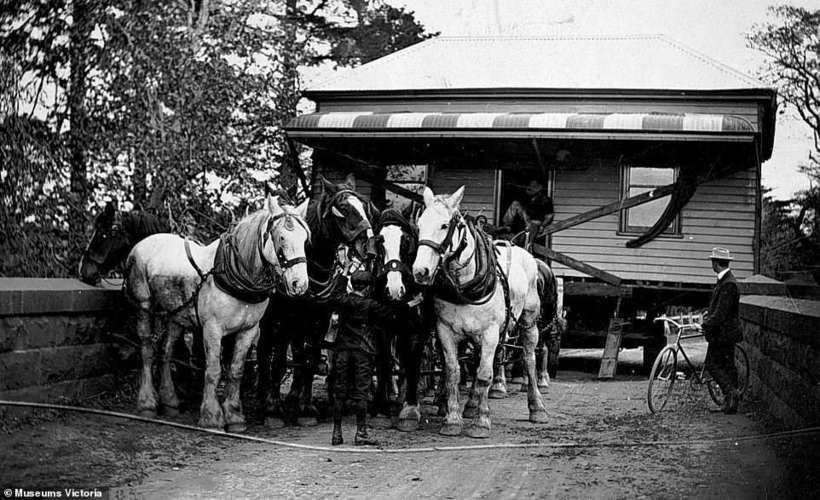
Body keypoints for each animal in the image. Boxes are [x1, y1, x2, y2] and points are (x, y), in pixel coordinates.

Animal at [126, 197, 310, 432]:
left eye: (304, 239)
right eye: (281, 237)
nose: (299, 284)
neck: (236, 275)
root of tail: (142, 243)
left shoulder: (248, 331)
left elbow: (236, 371)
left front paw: (234, 416)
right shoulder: (212, 329)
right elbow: (213, 370)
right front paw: (212, 416)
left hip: (176, 314)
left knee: (166, 351)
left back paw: (170, 401)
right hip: (144, 305)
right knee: (147, 349)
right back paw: (147, 403)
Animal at [256, 175, 374, 426]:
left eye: (363, 205)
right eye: (343, 208)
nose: (369, 246)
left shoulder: (318, 324)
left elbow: (308, 361)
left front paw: (305, 407)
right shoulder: (285, 322)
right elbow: (279, 362)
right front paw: (274, 406)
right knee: (265, 352)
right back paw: (264, 396)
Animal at [414, 186, 548, 436]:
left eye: (444, 225)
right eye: (419, 224)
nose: (420, 271)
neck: (464, 287)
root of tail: (521, 249)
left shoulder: (490, 333)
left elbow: (485, 375)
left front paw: (482, 422)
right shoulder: (445, 331)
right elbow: (453, 372)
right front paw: (452, 420)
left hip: (528, 322)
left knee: (529, 359)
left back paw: (537, 407)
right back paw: (471, 405)